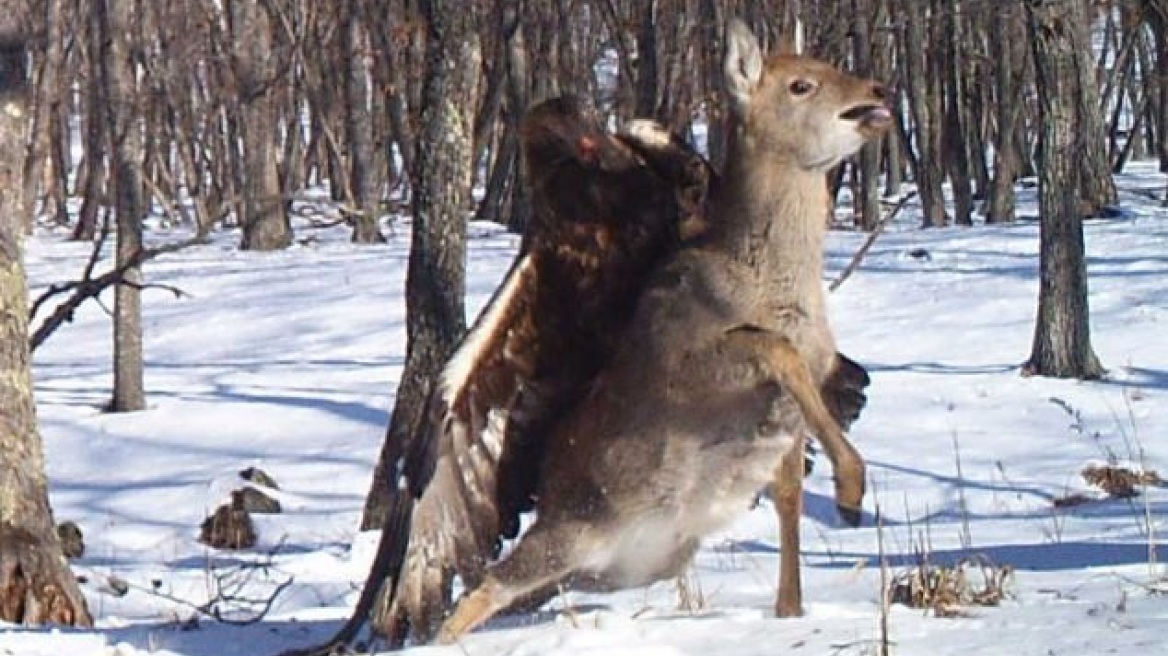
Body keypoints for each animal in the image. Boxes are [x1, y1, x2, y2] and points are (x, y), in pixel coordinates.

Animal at [434, 19, 887, 639]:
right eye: (800, 84)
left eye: (828, 64)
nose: (878, 92)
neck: (775, 287)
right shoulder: (687, 365)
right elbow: (772, 348)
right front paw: (850, 492)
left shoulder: (800, 402)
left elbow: (790, 495)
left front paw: (792, 607)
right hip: (569, 531)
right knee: (484, 588)